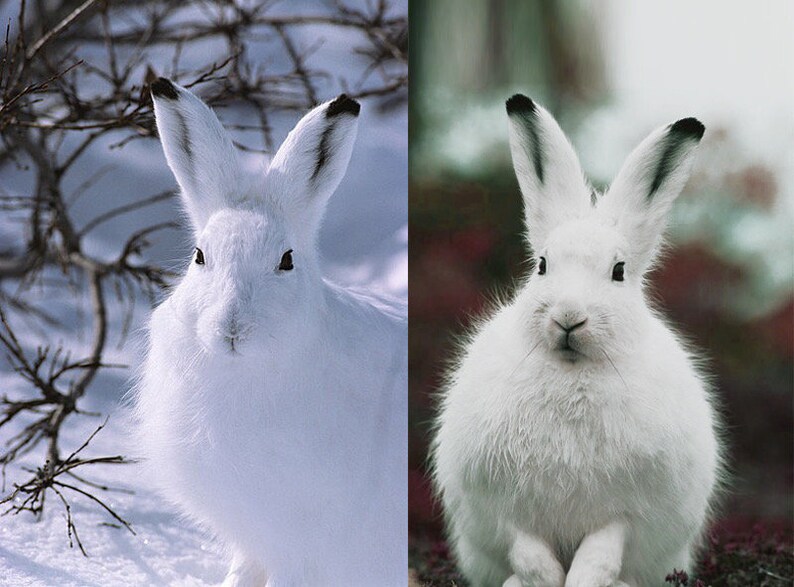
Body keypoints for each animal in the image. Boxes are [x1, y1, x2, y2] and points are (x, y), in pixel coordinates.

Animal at [431, 95, 724, 587]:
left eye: (619, 271)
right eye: (542, 265)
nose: (569, 316)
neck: (572, 372)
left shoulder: (625, 515)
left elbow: (599, 555)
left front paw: (583, 579)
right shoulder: (504, 512)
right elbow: (528, 551)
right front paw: (545, 579)